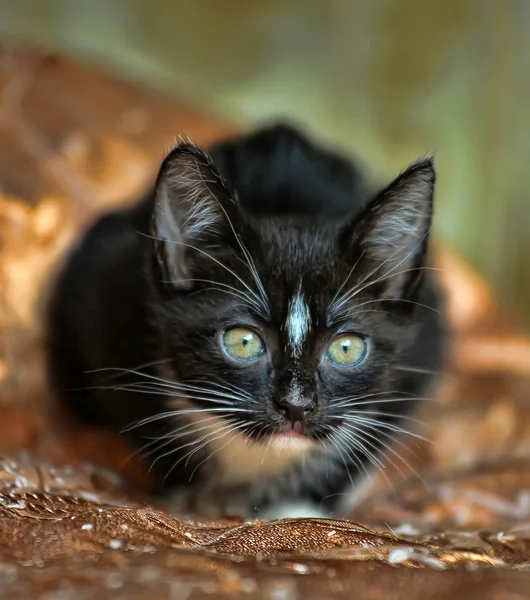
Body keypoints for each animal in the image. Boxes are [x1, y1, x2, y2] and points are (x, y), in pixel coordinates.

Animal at [45, 124, 444, 516]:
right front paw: (189, 491)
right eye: (244, 342)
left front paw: (298, 505)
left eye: (346, 349)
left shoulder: (426, 344)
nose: (296, 405)